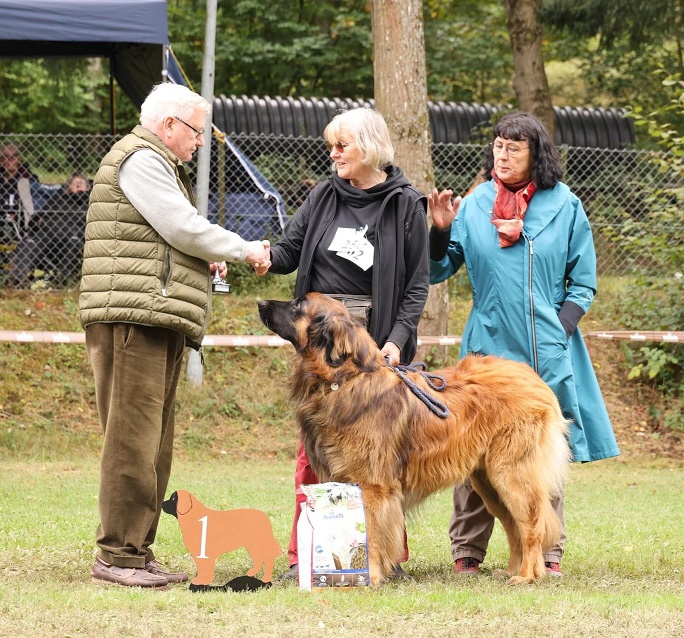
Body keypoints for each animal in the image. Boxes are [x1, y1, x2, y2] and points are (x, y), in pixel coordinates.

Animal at [256, 292, 572, 588]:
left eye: (298, 304)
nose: (260, 303)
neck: (343, 378)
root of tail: (535, 379)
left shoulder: (373, 486)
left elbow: (373, 535)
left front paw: (370, 576)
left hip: (511, 474)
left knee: (531, 525)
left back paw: (527, 575)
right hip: (488, 481)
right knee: (513, 526)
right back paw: (513, 570)